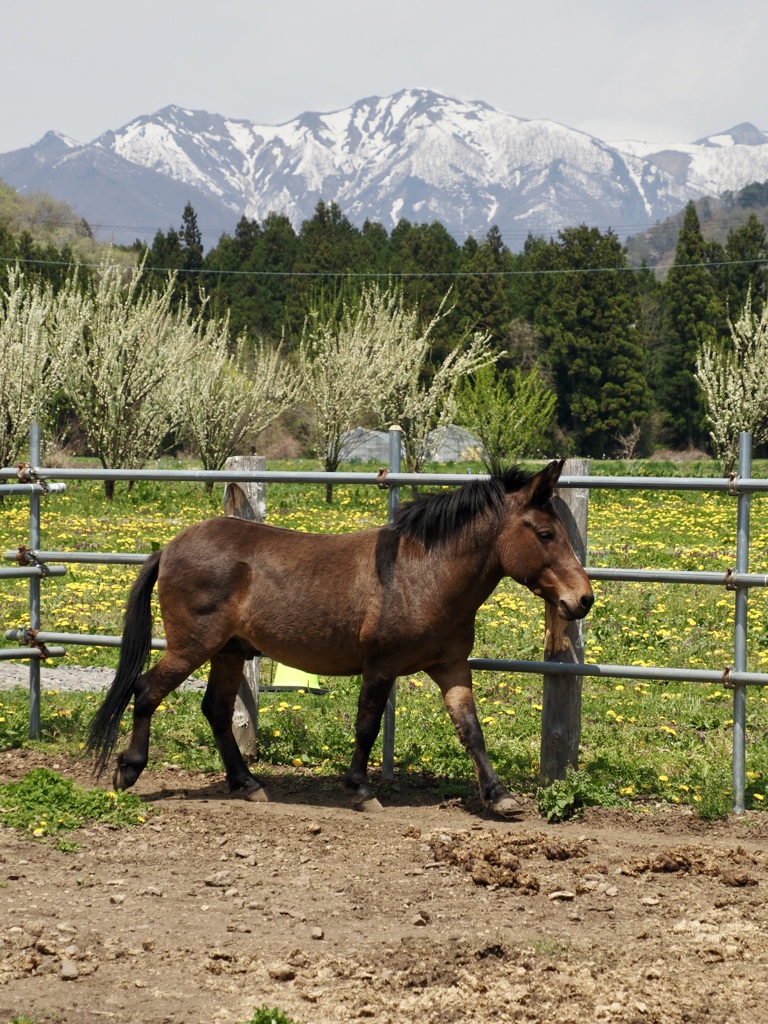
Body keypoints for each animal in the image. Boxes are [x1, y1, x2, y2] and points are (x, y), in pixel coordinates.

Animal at [90, 460, 593, 811]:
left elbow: (470, 729)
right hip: (192, 646)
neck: (422, 575)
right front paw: (361, 790)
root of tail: (169, 547)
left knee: (214, 710)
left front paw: (499, 795)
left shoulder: (450, 667)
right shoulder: (381, 665)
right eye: (545, 533)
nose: (583, 599)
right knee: (146, 691)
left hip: (228, 651)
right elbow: (367, 725)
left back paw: (248, 784)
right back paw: (128, 771)